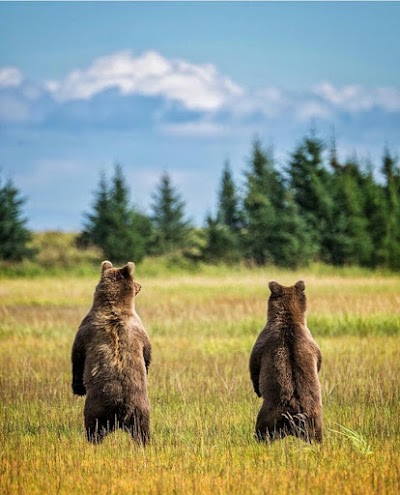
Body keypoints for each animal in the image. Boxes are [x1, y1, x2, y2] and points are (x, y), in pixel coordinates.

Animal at [71, 262, 151, 444]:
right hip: (138, 410)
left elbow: (77, 357)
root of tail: (121, 408)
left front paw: (77, 388)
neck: (115, 307)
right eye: (135, 281)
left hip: (99, 408)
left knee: (94, 429)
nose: (140, 285)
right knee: (141, 431)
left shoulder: (86, 331)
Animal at [248, 280, 324, 444]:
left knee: (262, 429)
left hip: (271, 413)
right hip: (314, 419)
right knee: (316, 435)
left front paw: (256, 389)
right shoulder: (311, 342)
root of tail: (295, 413)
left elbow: (254, 365)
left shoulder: (264, 341)